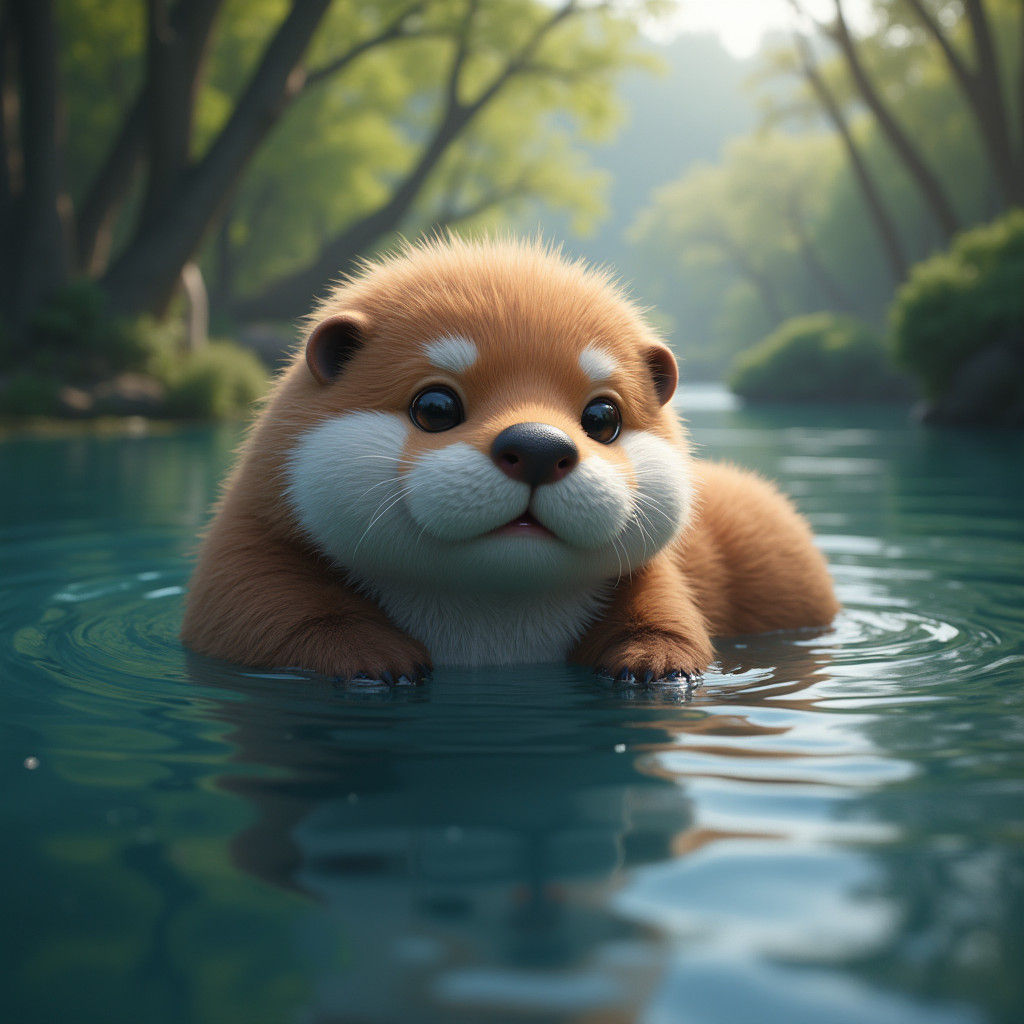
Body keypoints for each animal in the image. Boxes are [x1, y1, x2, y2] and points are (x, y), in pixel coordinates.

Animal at [181, 237, 838, 683]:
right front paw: (370, 659)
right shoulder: (243, 566)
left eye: (603, 418)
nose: (541, 448)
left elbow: (666, 619)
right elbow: (272, 620)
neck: (490, 633)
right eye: (435, 406)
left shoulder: (657, 580)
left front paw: (654, 661)